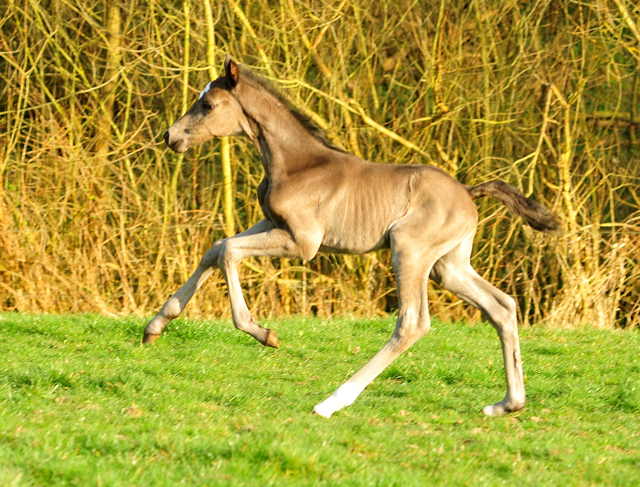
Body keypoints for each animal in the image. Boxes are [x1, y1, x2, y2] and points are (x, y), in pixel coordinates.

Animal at [142, 56, 556, 420]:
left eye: (208, 104)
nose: (169, 135)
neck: (297, 164)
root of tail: (469, 193)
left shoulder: (303, 243)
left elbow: (228, 250)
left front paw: (263, 333)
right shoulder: (271, 223)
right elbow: (215, 249)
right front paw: (156, 326)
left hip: (409, 251)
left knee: (413, 322)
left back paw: (332, 402)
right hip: (448, 266)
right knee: (502, 307)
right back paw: (508, 404)